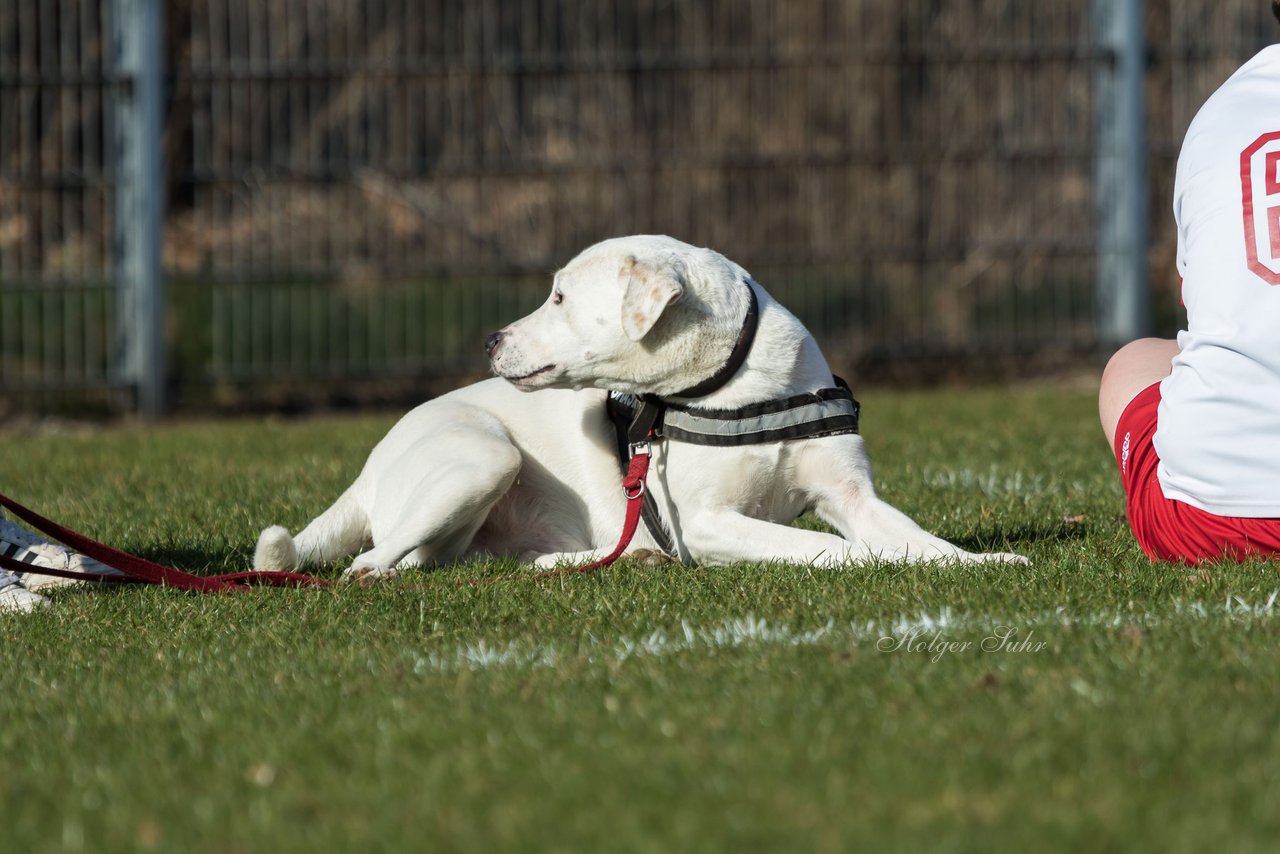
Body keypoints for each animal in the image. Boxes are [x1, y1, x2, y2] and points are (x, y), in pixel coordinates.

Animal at [254, 234, 1024, 581]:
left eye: (560, 296)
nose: (490, 339)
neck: (737, 385)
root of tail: (371, 463)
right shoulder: (707, 524)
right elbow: (834, 548)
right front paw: (869, 560)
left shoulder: (853, 496)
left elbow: (917, 540)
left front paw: (983, 562)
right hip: (482, 459)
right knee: (372, 561)